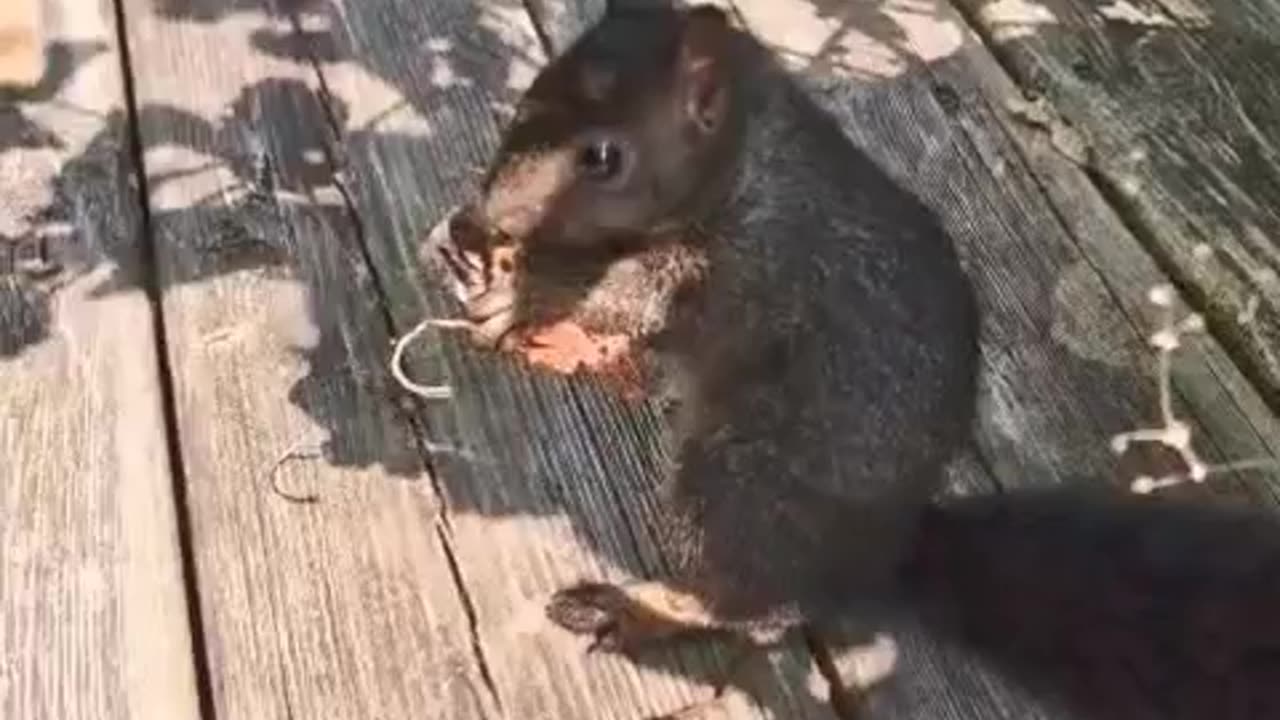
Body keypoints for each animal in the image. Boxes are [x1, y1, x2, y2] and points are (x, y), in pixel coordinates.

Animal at [417, 2, 1280, 717]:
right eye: (528, 95)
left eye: (603, 158)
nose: (487, 214)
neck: (747, 164)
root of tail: (887, 550)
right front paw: (461, 244)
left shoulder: (753, 262)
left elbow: (635, 296)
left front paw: (525, 290)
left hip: (737, 486)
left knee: (759, 611)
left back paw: (643, 607)